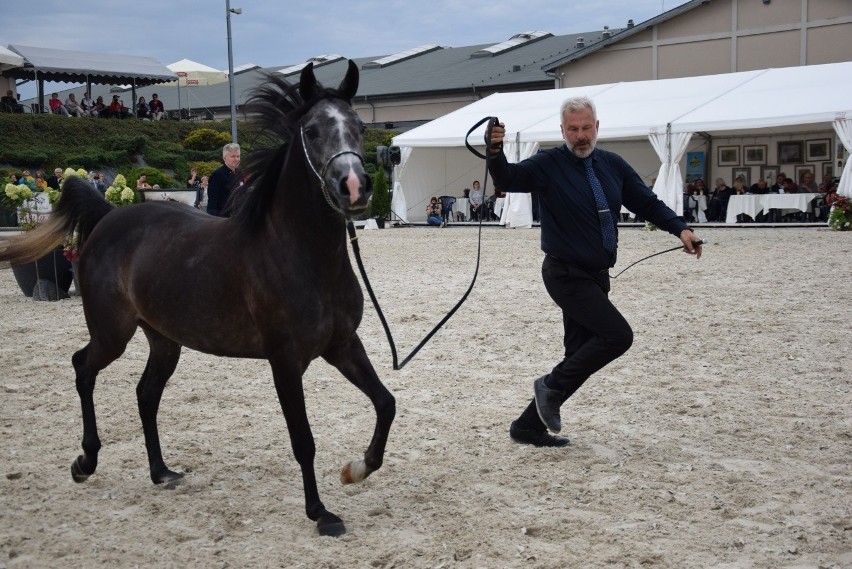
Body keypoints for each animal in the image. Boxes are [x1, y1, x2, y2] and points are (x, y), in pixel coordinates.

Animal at [0, 62, 396, 536]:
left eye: (359, 127)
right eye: (313, 131)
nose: (354, 187)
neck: (301, 253)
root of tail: (109, 216)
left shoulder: (342, 346)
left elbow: (386, 403)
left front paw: (357, 469)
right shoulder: (285, 361)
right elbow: (303, 440)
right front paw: (321, 514)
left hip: (164, 340)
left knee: (145, 393)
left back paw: (161, 472)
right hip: (112, 333)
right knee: (83, 368)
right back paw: (85, 462)